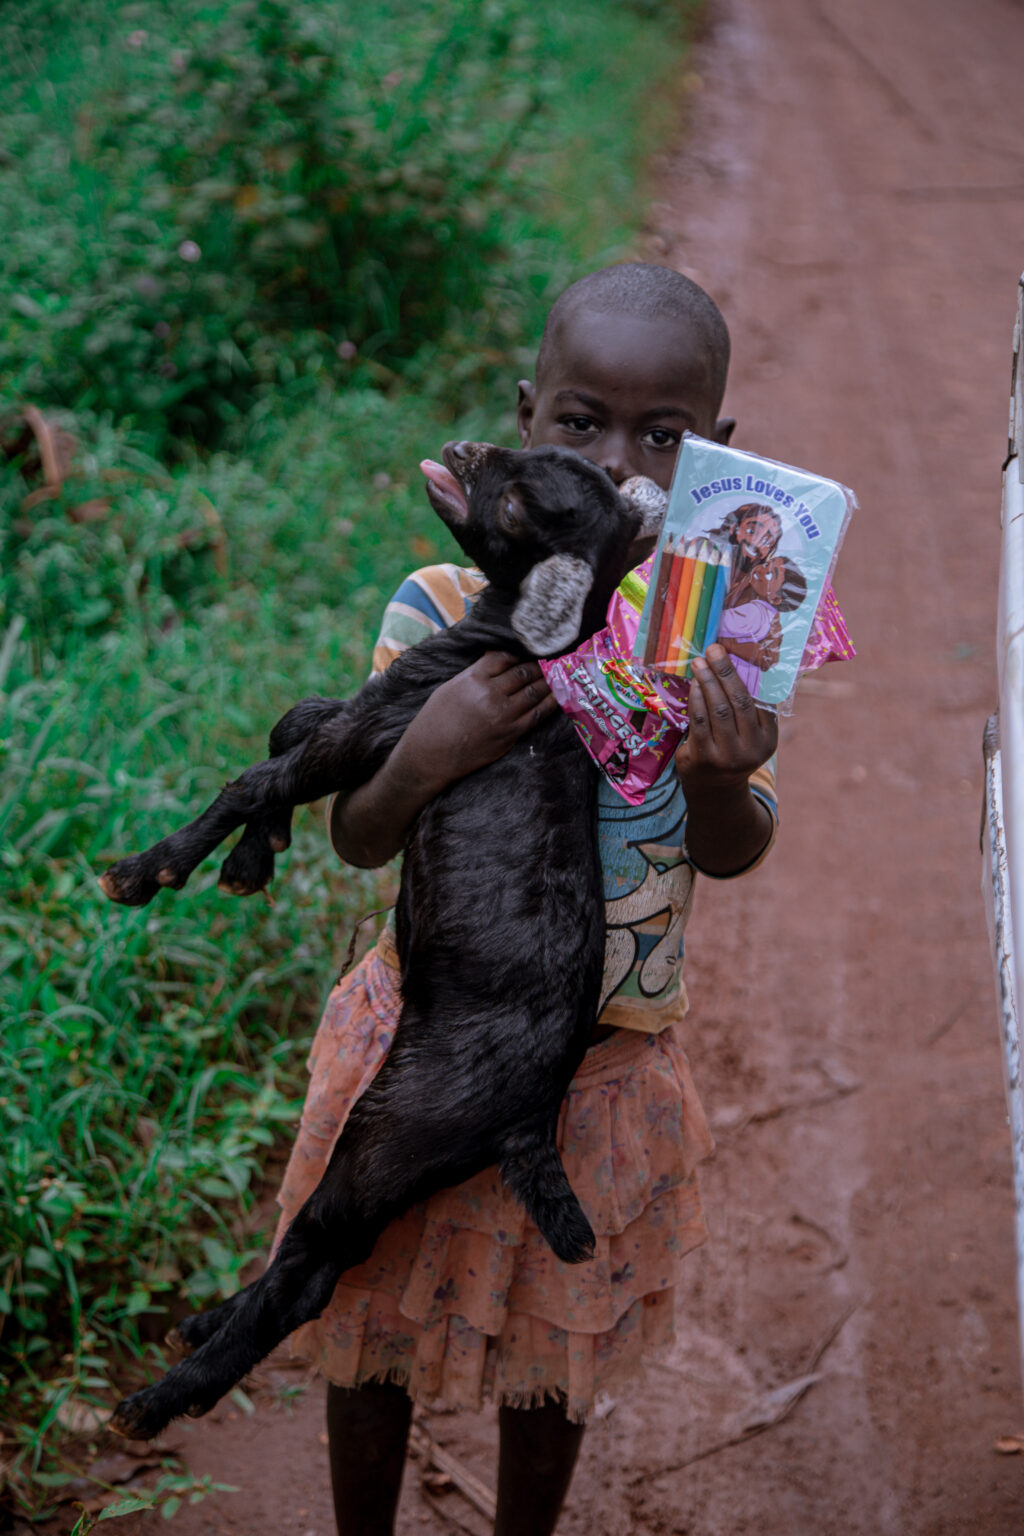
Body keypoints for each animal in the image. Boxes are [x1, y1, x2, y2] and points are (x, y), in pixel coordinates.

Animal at [102, 442, 666, 1437]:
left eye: (517, 493)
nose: (470, 449)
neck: (526, 649)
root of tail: (532, 1121)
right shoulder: (370, 716)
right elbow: (293, 718)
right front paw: (254, 859)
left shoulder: (391, 722)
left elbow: (262, 775)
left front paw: (152, 869)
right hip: (408, 1162)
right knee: (316, 1259)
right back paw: (206, 1324)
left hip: (390, 1133)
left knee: (308, 1277)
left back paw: (166, 1396)